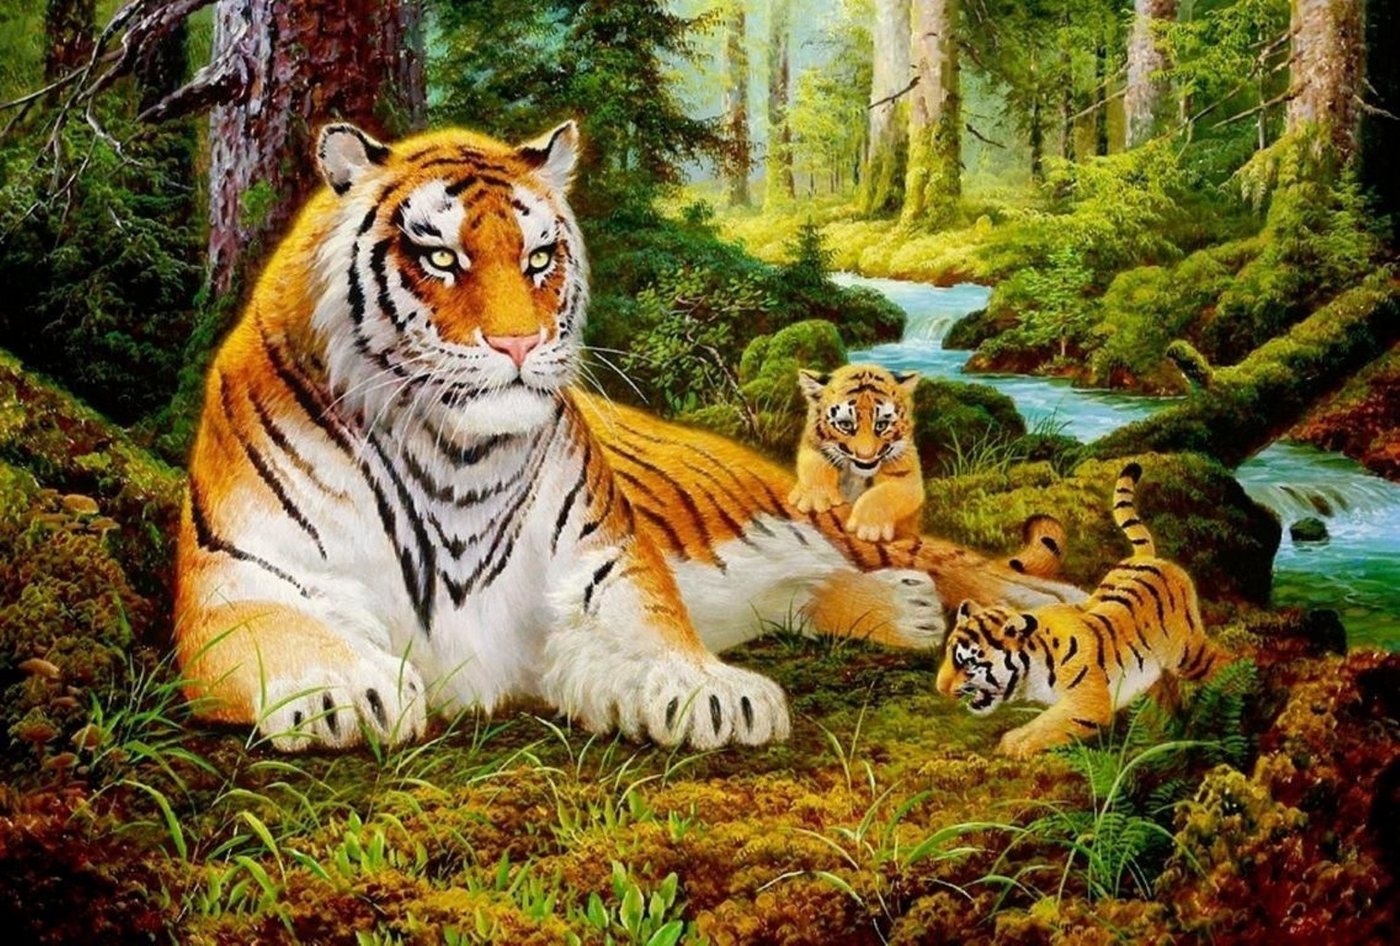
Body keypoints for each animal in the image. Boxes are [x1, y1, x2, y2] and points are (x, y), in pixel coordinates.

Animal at [789, 364, 923, 542]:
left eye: (881, 425)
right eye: (846, 425)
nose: (865, 455)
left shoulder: (906, 475)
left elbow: (884, 493)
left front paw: (869, 528)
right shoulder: (813, 444)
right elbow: (814, 465)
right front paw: (815, 498)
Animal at [935, 462, 1231, 758]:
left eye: (967, 662)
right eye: (949, 656)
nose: (940, 688)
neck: (1032, 670)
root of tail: (1145, 558)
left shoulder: (1087, 704)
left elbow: (1046, 726)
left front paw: (1012, 744)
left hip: (1189, 652)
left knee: (1222, 663)